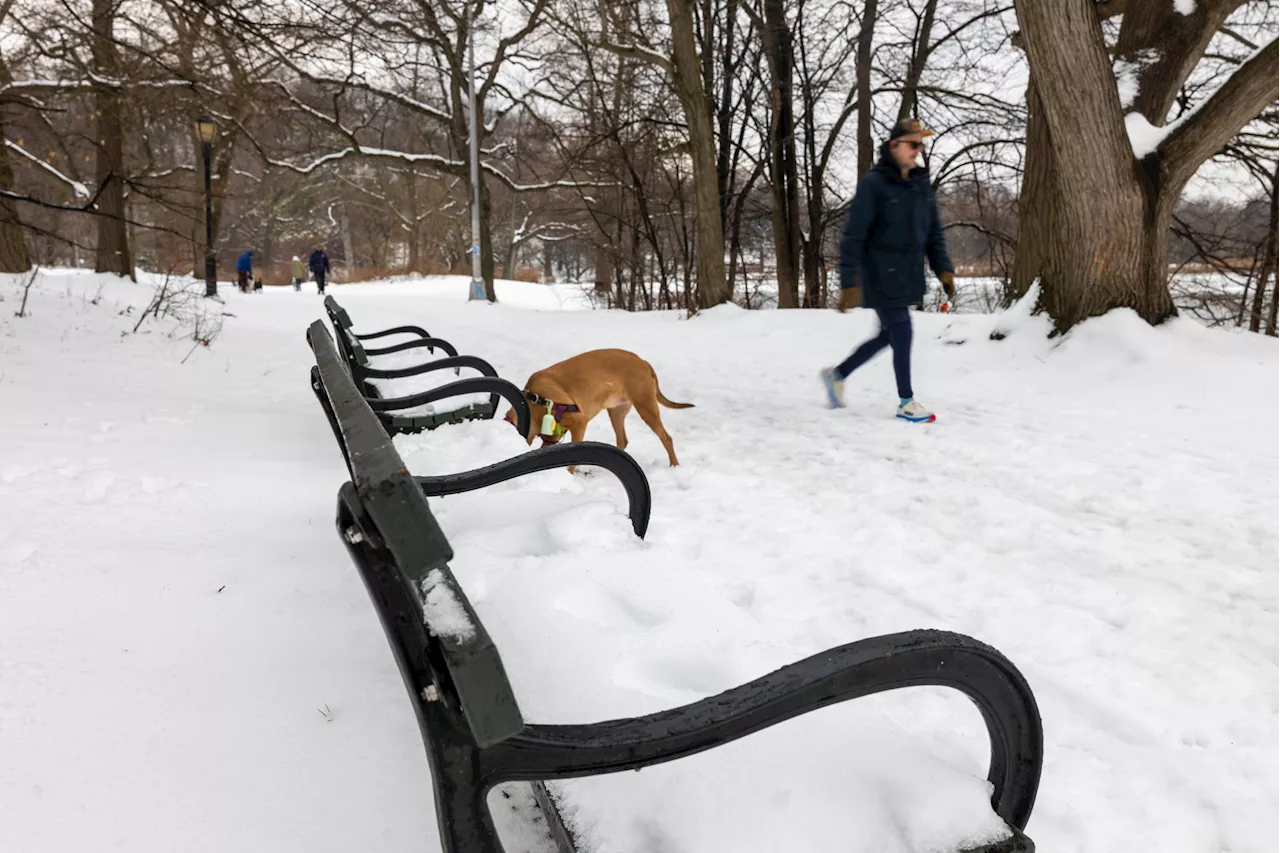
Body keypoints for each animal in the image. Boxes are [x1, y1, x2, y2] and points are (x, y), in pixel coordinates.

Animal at [504, 345, 696, 468]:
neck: (536, 401)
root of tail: (643, 362)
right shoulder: (552, 437)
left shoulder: (579, 423)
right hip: (616, 411)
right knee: (622, 440)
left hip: (646, 407)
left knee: (666, 438)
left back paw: (674, 465)